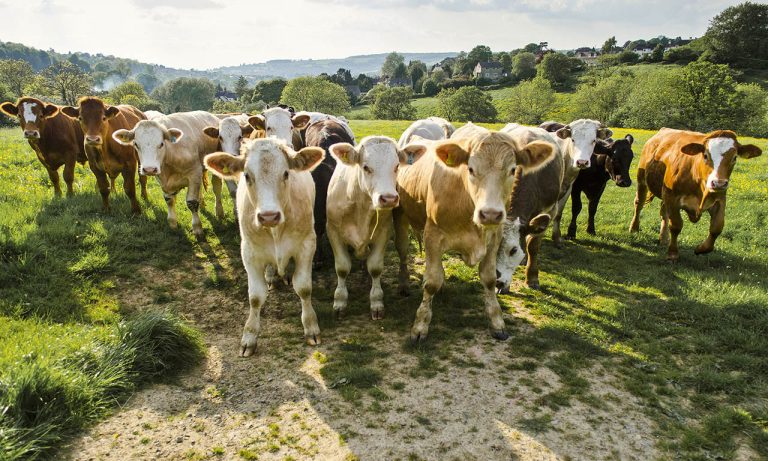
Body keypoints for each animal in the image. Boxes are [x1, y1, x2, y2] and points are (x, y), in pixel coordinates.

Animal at [203, 138, 325, 357]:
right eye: (246, 175)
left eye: (286, 173)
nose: (269, 216)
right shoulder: (249, 253)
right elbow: (255, 297)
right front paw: (249, 336)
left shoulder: (307, 245)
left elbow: (303, 288)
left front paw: (311, 326)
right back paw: (271, 276)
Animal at [326, 136, 426, 320]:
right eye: (366, 167)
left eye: (396, 166)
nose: (389, 198)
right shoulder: (333, 231)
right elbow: (342, 268)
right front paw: (340, 302)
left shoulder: (383, 233)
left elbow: (375, 267)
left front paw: (376, 303)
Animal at [393, 122, 555, 341]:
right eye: (470, 168)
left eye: (513, 169)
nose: (490, 214)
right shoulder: (432, 236)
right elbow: (432, 282)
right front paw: (420, 325)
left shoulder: (494, 237)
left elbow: (489, 279)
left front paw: (497, 322)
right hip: (400, 216)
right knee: (403, 252)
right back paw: (403, 284)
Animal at [629, 128, 761, 261]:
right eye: (705, 155)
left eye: (734, 158)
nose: (718, 183)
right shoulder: (672, 198)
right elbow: (676, 225)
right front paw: (672, 253)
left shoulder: (719, 200)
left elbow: (717, 228)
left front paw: (701, 249)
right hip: (642, 181)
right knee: (639, 204)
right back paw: (634, 228)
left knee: (664, 213)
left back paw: (664, 238)